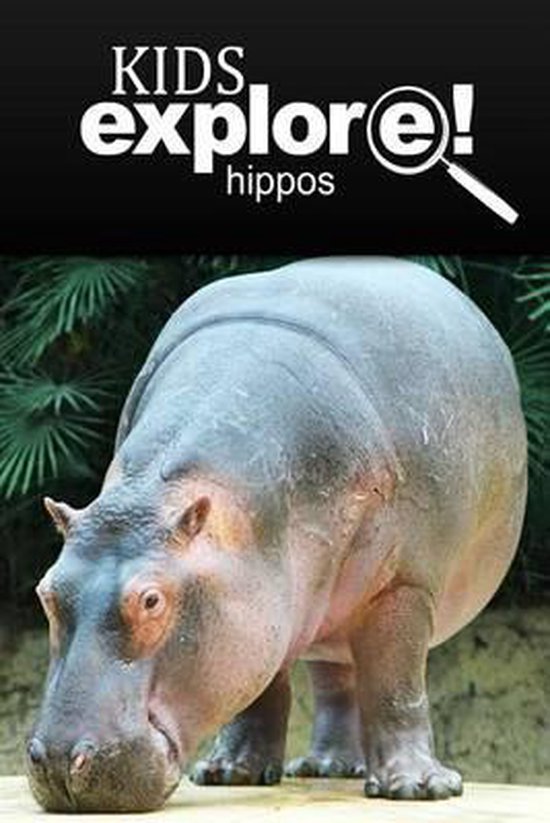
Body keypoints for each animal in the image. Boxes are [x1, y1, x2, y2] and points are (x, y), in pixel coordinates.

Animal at [27, 257, 527, 811]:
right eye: (46, 592)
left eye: (151, 600)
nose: (58, 760)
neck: (156, 494)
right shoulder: (261, 598)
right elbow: (264, 688)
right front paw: (230, 774)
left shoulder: (404, 585)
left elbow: (395, 684)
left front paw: (420, 789)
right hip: (323, 608)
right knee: (334, 677)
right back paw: (325, 767)